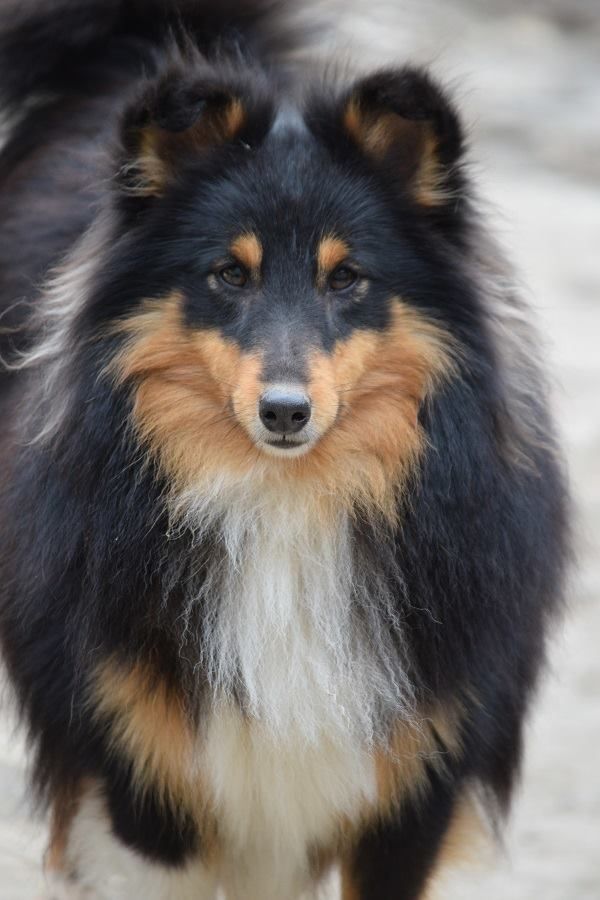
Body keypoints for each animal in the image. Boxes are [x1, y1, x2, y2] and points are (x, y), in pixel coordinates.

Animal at [0, 1, 568, 900]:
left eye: (348, 278)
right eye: (230, 274)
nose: (285, 413)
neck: (288, 502)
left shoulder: (414, 783)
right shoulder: (142, 772)